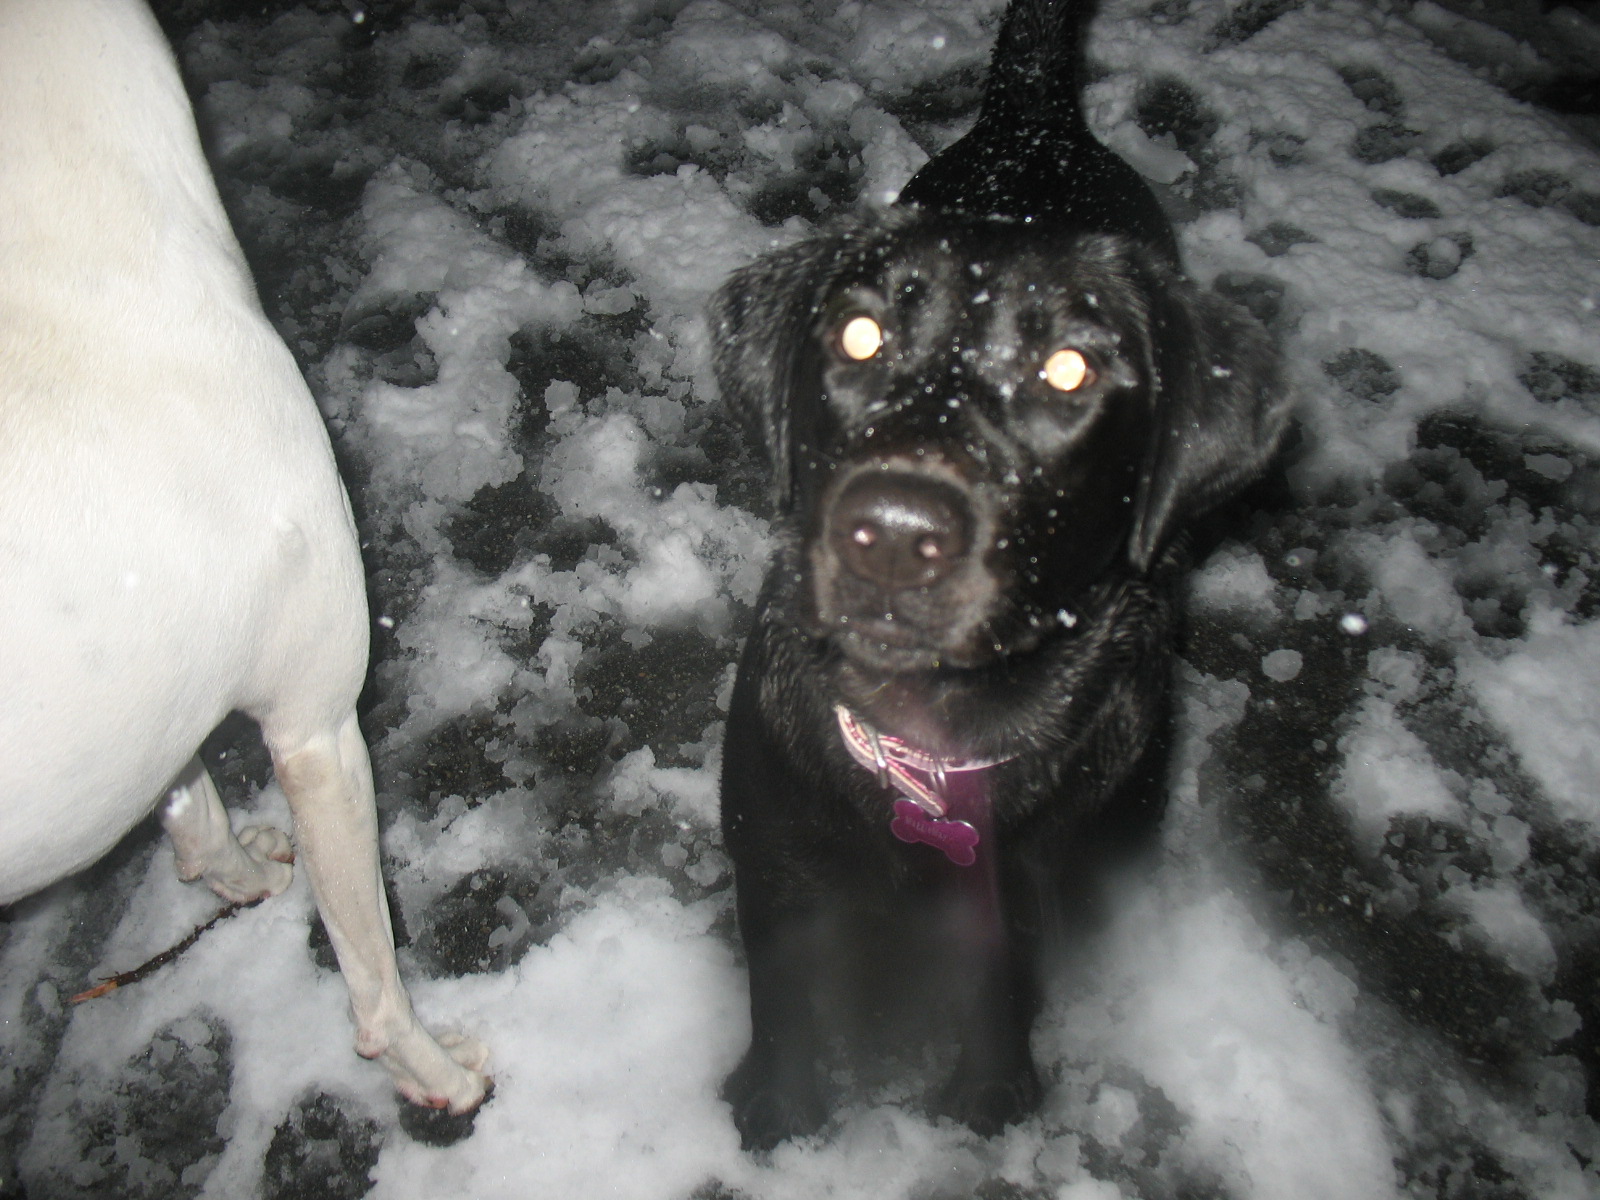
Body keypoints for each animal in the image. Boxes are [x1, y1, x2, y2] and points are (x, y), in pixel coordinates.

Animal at [0, 0, 487, 1114]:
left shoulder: (152, 687)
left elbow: (189, 797)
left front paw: (236, 877)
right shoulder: (318, 728)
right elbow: (373, 970)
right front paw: (434, 1071)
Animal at [710, 0, 1287, 1149]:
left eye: (1070, 367)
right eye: (858, 333)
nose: (890, 532)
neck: (937, 743)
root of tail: (1037, 117)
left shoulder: (1035, 884)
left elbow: (1003, 989)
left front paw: (990, 1094)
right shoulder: (773, 859)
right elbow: (782, 995)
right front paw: (779, 1110)